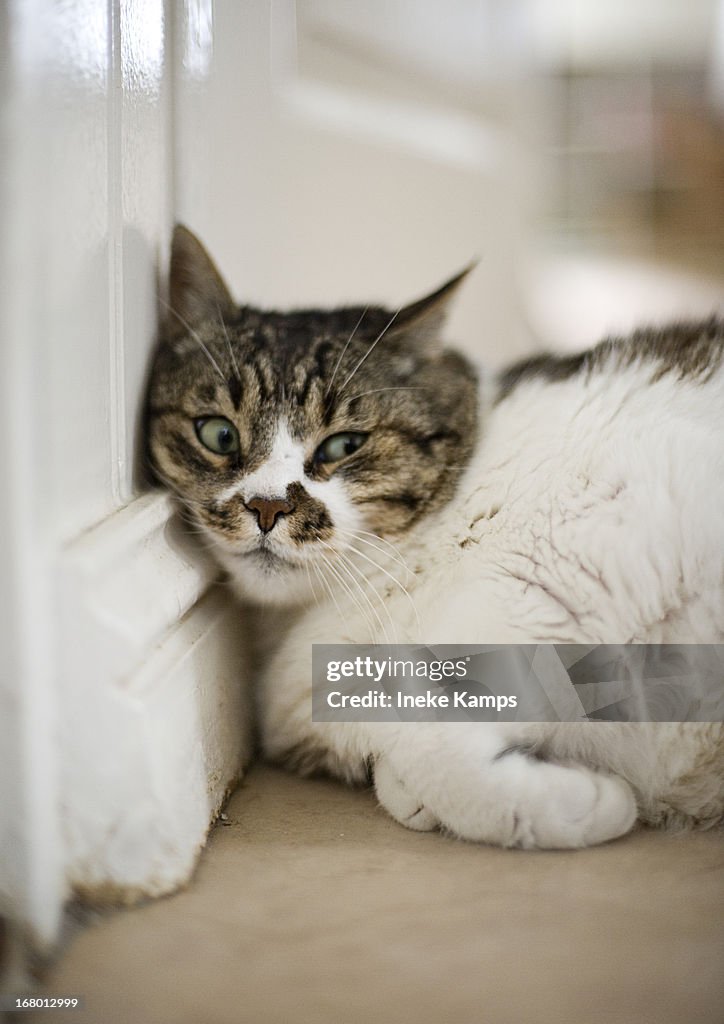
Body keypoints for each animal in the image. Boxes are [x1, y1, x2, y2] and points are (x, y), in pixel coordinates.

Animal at [145, 228, 724, 851]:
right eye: (218, 434)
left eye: (343, 445)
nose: (267, 505)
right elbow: (408, 754)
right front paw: (589, 800)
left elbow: (433, 739)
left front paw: (600, 803)